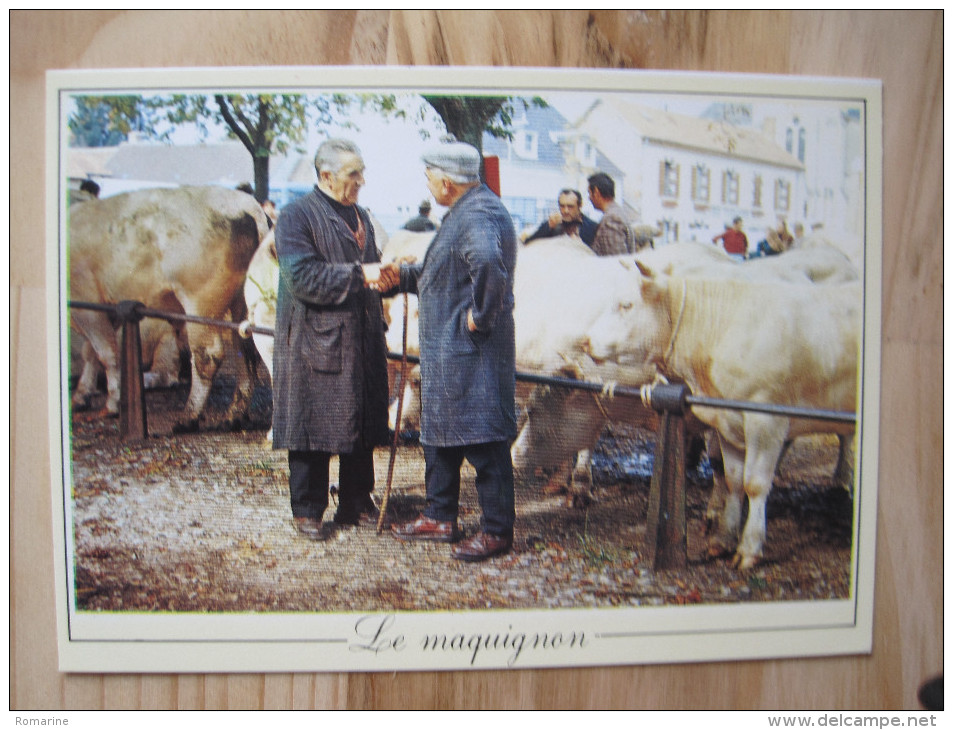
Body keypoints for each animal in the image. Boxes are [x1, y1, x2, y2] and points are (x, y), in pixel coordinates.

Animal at [69, 185, 268, 430]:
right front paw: (81, 396)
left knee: (207, 356)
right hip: (239, 305)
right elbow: (90, 353)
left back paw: (189, 416)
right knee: (244, 350)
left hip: (201, 303)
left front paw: (112, 404)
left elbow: (106, 354)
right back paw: (234, 414)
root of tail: (244, 203)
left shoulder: (86, 303)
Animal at [576, 264, 860, 568]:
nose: (585, 341)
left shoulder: (766, 419)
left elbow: (755, 484)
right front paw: (723, 539)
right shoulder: (727, 423)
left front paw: (749, 548)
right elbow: (734, 480)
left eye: (626, 304)